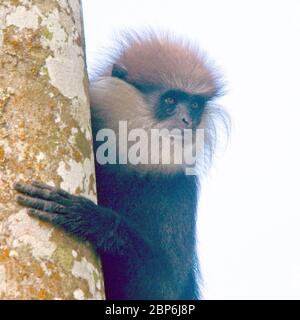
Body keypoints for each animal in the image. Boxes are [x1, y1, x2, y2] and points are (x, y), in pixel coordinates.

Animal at [12, 30, 229, 300]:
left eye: (195, 105)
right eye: (170, 100)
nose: (187, 120)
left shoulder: (180, 187)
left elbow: (161, 288)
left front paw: (91, 219)